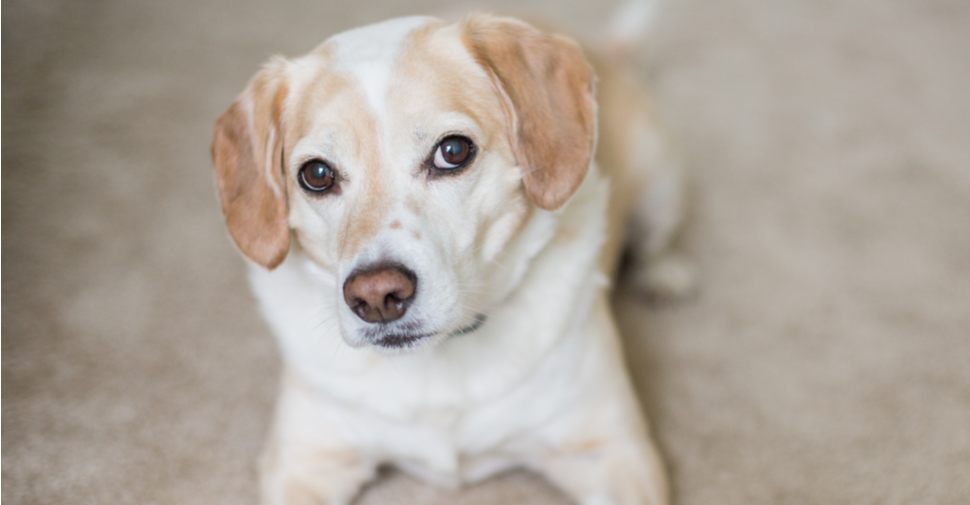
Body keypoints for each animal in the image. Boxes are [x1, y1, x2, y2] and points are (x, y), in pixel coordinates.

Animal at [212, 7, 688, 504]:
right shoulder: (305, 462)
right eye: (317, 174)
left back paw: (665, 274)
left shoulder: (614, 454)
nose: (376, 297)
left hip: (662, 182)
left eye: (453, 151)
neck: (441, 361)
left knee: (657, 240)